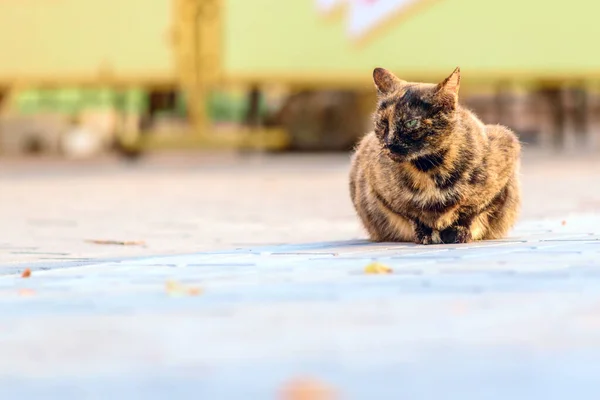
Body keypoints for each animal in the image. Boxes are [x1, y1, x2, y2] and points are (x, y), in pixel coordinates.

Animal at [346, 66, 520, 244]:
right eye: (383, 123)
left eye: (411, 123)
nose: (387, 144)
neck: (428, 169)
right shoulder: (375, 182)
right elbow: (411, 214)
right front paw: (425, 234)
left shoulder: (505, 156)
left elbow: (471, 210)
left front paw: (458, 232)